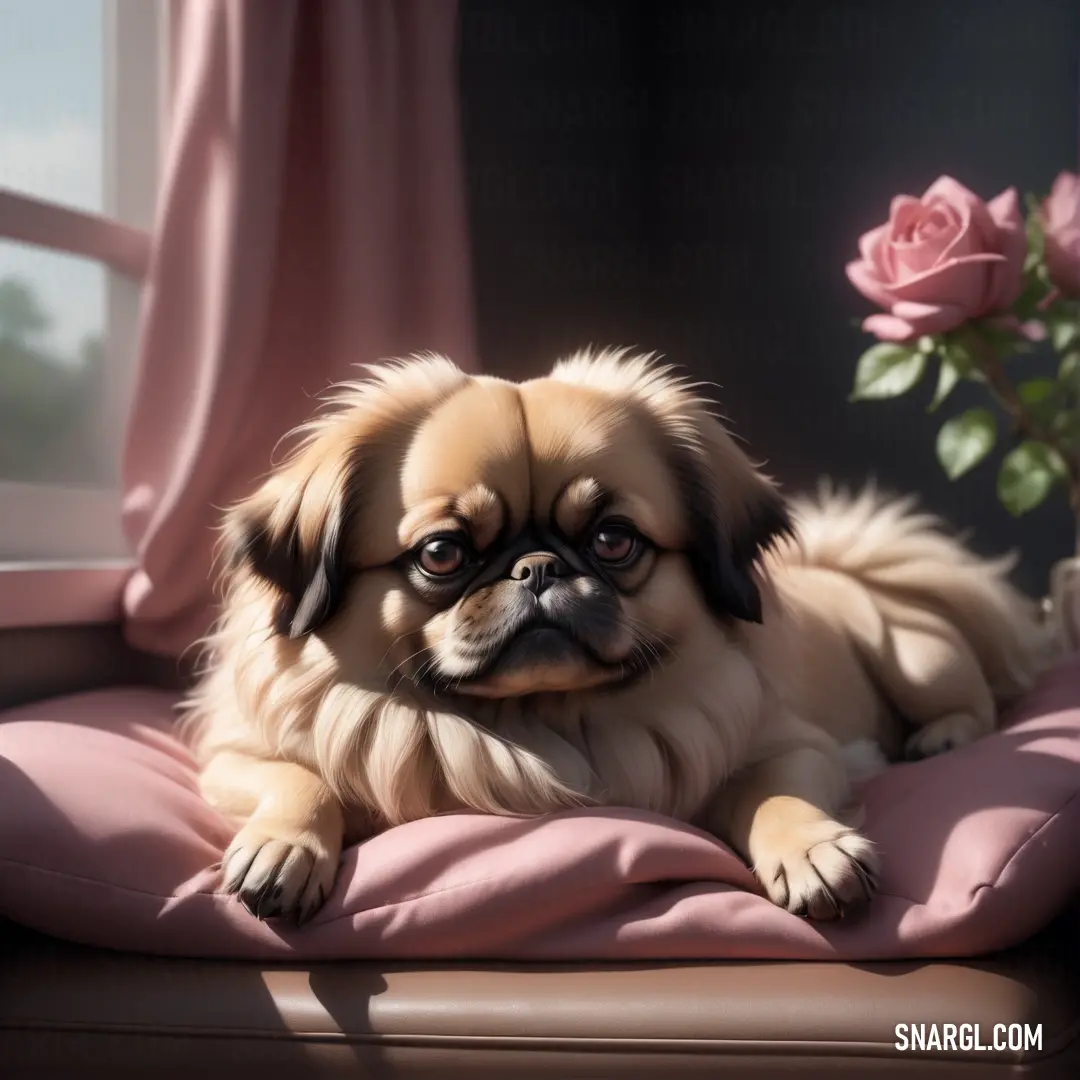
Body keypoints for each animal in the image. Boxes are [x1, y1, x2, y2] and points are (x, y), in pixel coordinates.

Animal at [183, 349, 1054, 924]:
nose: (536, 568)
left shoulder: (797, 747)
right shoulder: (233, 758)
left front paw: (814, 852)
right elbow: (299, 782)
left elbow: (776, 791)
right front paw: (284, 849)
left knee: (974, 697)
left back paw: (942, 738)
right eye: (442, 554)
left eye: (612, 541)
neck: (537, 724)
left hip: (917, 656)